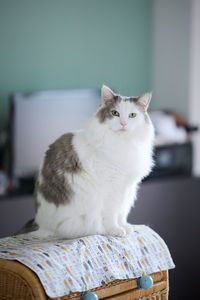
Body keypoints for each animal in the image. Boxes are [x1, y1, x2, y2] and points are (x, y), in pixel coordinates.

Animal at [31, 85, 154, 239]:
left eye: (132, 115)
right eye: (115, 113)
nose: (123, 123)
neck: (122, 143)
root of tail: (42, 226)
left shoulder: (127, 188)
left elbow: (121, 213)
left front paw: (125, 226)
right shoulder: (112, 187)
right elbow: (112, 214)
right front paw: (116, 230)